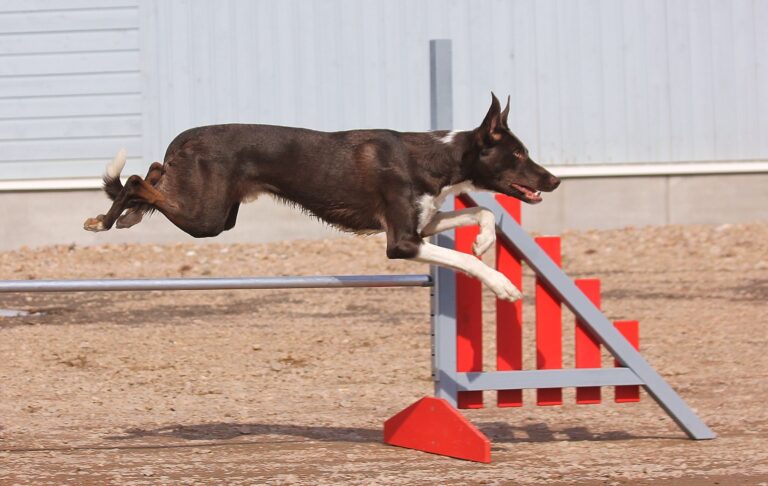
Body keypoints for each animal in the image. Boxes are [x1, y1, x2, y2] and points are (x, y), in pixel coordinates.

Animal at [85, 93, 560, 300]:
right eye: (518, 154)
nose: (554, 181)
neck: (437, 155)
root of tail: (186, 137)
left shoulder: (421, 223)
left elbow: (482, 212)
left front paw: (483, 240)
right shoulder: (401, 243)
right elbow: (464, 258)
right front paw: (502, 285)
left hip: (214, 212)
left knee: (153, 173)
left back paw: (126, 215)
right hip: (208, 218)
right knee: (135, 179)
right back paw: (105, 219)